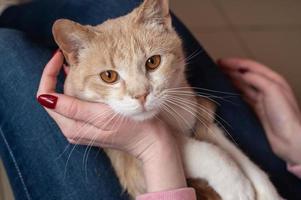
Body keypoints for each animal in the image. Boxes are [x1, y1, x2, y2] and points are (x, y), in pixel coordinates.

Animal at [52, 0, 282, 199]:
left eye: (153, 62)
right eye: (108, 76)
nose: (141, 94)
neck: (169, 115)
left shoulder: (200, 115)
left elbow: (236, 153)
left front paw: (265, 189)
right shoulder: (133, 165)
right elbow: (206, 152)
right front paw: (236, 184)